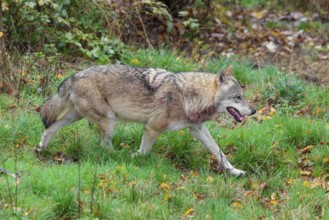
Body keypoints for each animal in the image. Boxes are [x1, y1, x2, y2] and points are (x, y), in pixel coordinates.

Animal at [36, 63, 256, 175]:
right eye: (238, 97)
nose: (253, 111)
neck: (188, 96)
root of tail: (73, 76)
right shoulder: (152, 128)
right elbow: (143, 153)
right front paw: (134, 158)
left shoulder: (197, 129)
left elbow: (219, 152)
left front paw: (235, 171)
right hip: (109, 120)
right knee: (105, 146)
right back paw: (119, 156)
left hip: (77, 116)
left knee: (50, 127)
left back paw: (40, 149)